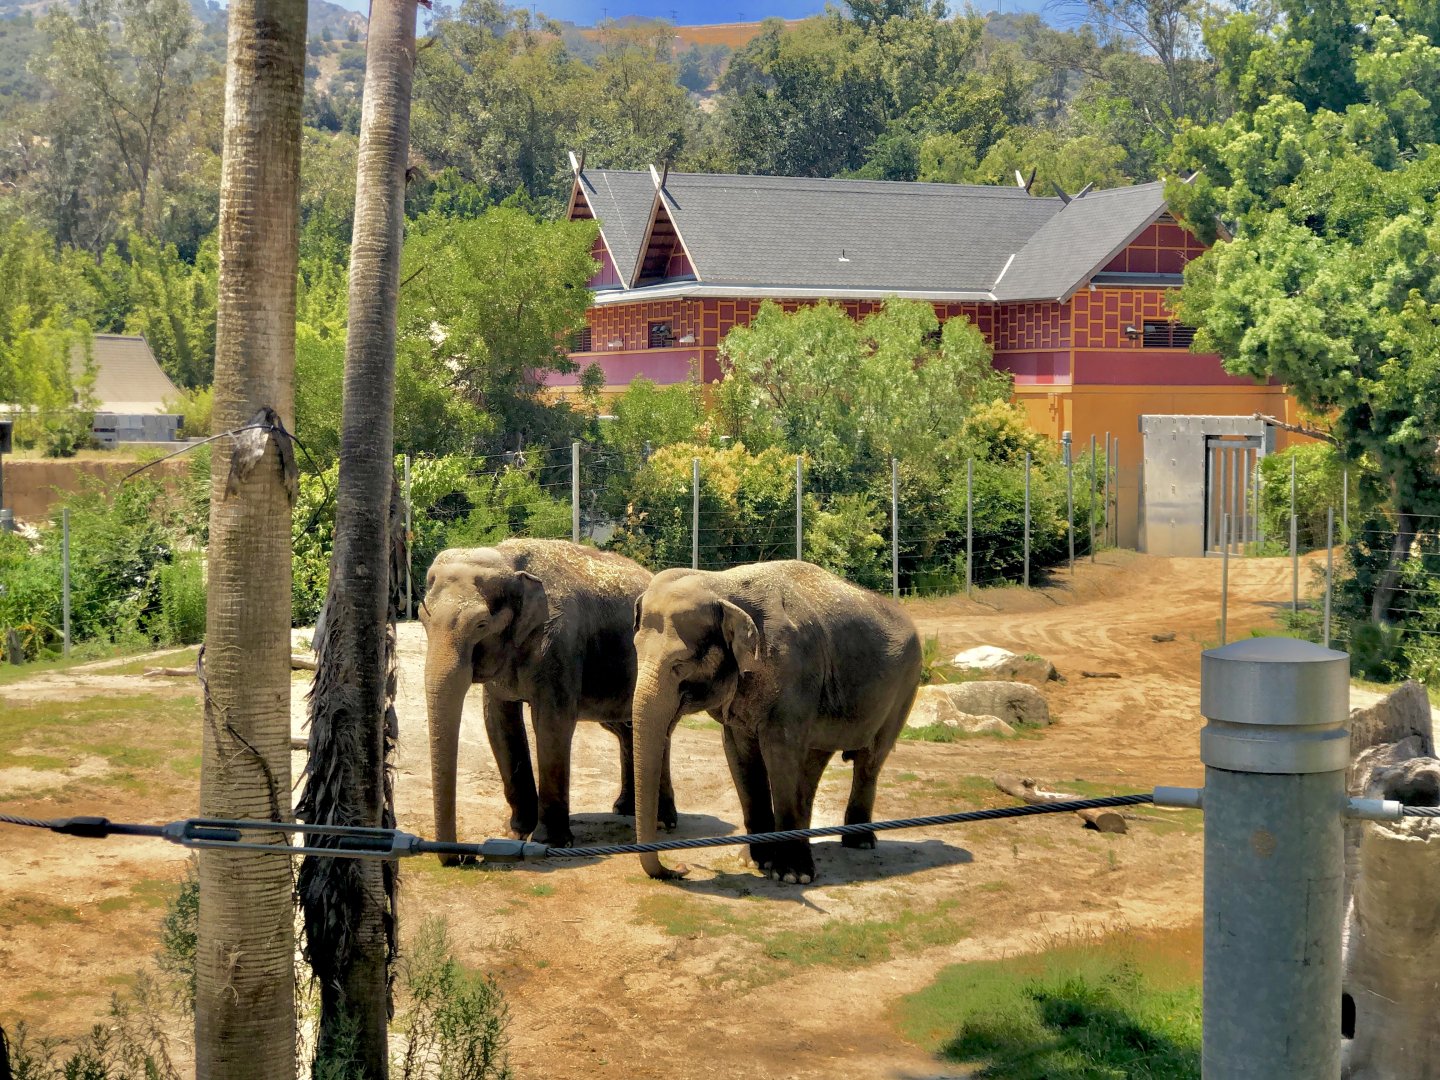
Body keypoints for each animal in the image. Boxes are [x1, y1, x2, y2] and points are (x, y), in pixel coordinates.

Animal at [419, 538, 678, 859]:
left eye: (480, 624)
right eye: (422, 619)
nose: (467, 856)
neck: (508, 560)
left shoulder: (560, 642)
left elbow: (552, 722)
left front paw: (550, 842)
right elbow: (499, 722)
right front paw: (517, 832)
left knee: (659, 730)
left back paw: (664, 822)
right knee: (627, 729)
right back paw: (624, 810)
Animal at [631, 560, 923, 884]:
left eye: (679, 664)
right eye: (635, 650)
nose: (680, 868)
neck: (721, 584)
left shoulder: (794, 671)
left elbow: (780, 752)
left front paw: (792, 876)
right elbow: (740, 753)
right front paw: (755, 861)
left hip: (906, 685)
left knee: (870, 760)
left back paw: (857, 842)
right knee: (815, 760)